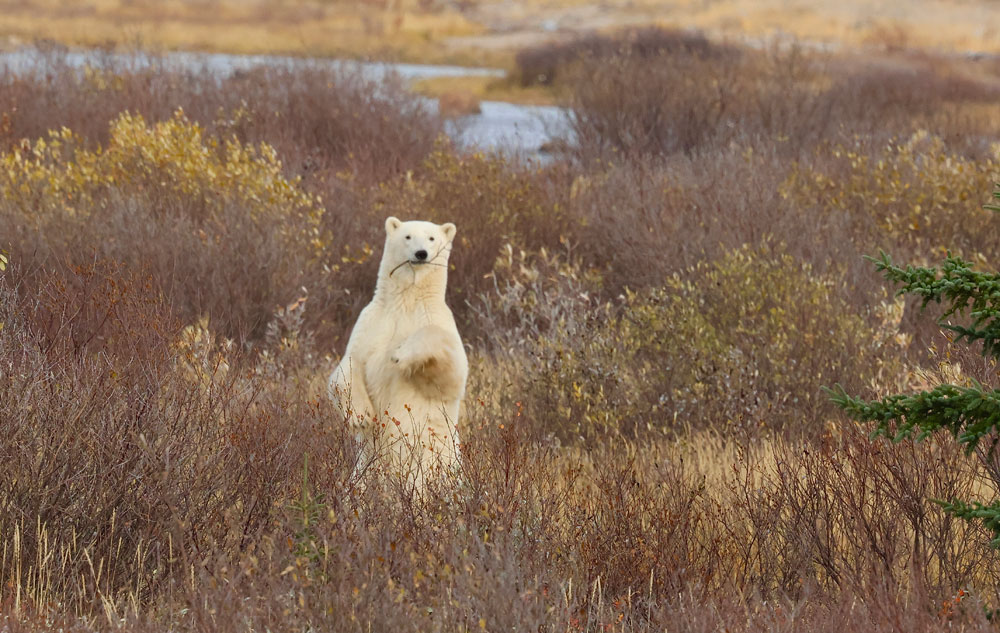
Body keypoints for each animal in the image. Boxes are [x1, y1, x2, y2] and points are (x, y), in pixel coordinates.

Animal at [328, 215, 468, 486]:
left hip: (436, 463)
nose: (421, 253)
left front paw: (401, 354)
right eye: (408, 236)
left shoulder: (437, 318)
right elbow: (348, 366)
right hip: (364, 470)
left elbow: (451, 373)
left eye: (432, 237)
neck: (407, 300)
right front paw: (361, 416)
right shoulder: (372, 321)